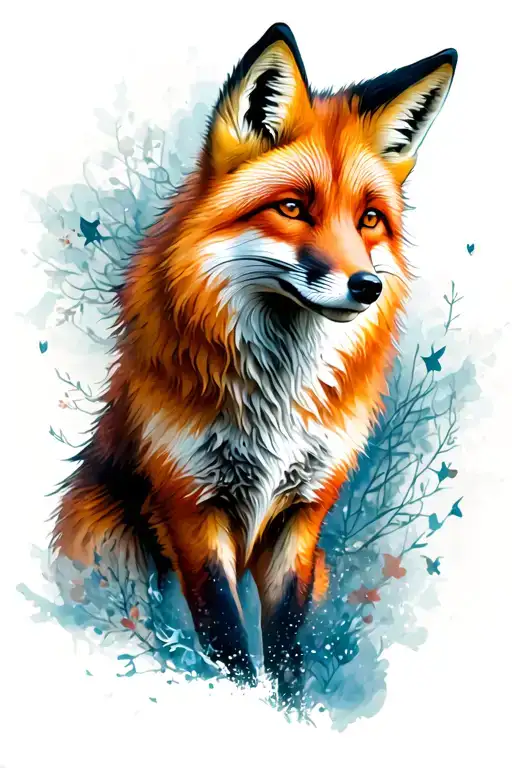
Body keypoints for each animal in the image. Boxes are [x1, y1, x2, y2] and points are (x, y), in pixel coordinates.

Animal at [51, 23, 457, 702]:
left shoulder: (302, 511)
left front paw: (289, 711)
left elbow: (287, 643)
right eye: (293, 208)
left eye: (370, 219)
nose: (368, 286)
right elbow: (228, 642)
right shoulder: (190, 505)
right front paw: (240, 704)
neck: (277, 395)